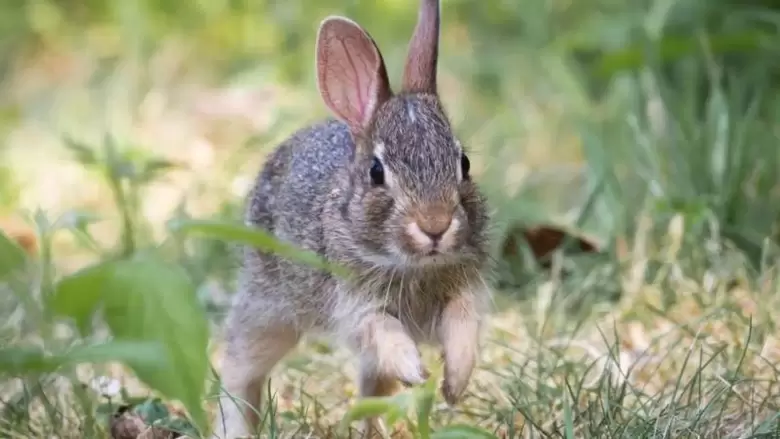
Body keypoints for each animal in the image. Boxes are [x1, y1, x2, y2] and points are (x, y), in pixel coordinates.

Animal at [211, 0, 492, 437]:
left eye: (463, 164)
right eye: (377, 172)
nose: (435, 226)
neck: (413, 265)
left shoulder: (463, 289)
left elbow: (463, 325)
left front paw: (454, 384)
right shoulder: (355, 303)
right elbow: (382, 332)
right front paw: (417, 371)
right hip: (271, 305)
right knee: (242, 368)